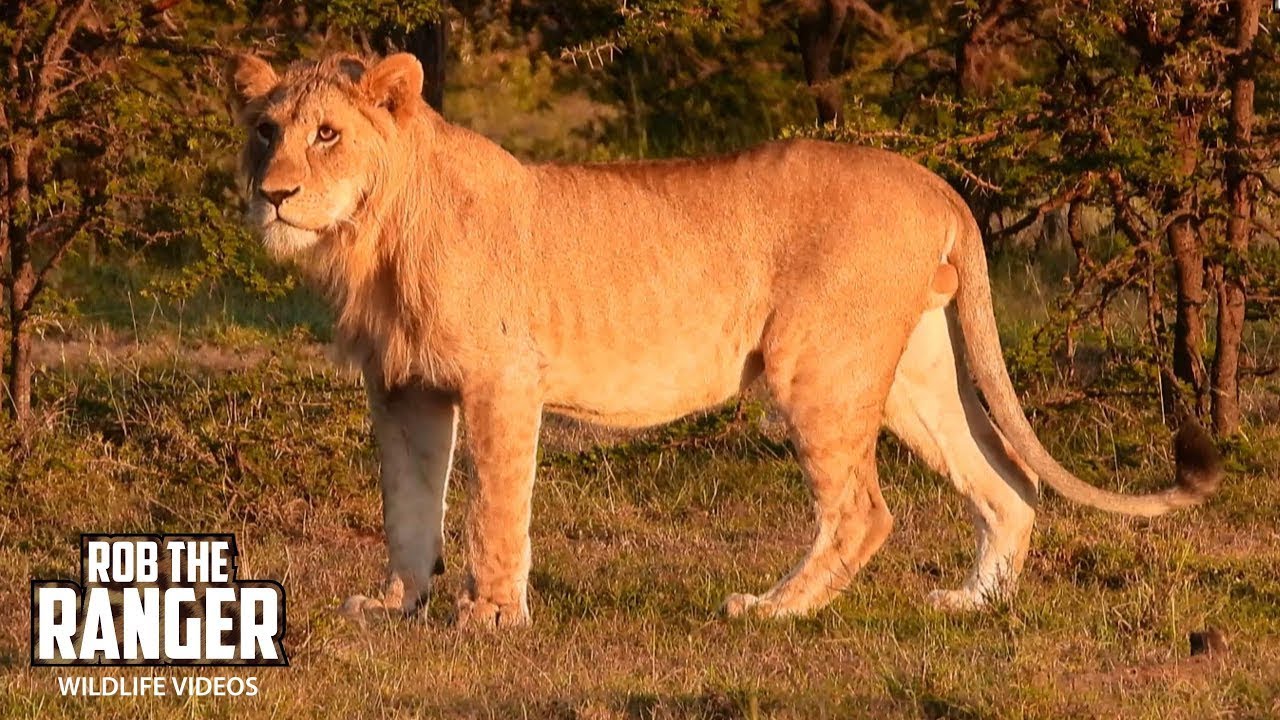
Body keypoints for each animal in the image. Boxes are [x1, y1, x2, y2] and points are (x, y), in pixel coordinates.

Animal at [229, 52, 1223, 628]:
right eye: (264, 133)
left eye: (327, 134)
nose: (273, 195)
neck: (370, 235)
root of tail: (935, 182)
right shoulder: (401, 390)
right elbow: (407, 508)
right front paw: (394, 608)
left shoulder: (501, 377)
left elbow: (490, 510)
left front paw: (490, 619)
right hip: (910, 374)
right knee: (1008, 485)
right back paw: (969, 603)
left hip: (815, 365)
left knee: (865, 511)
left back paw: (772, 611)